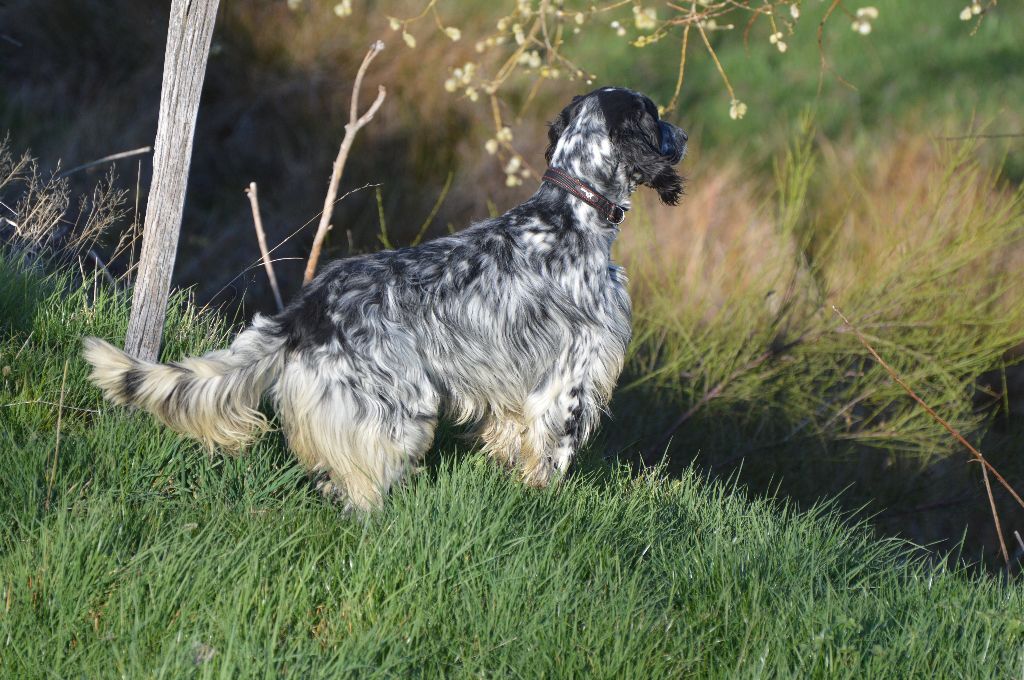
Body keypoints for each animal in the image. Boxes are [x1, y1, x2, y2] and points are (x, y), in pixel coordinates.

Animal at [81, 86, 688, 510]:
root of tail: (310, 308)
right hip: (399, 414)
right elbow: (550, 461)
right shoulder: (569, 382)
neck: (569, 216)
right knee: (358, 487)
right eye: (656, 115)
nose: (682, 135)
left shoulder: (518, 391)